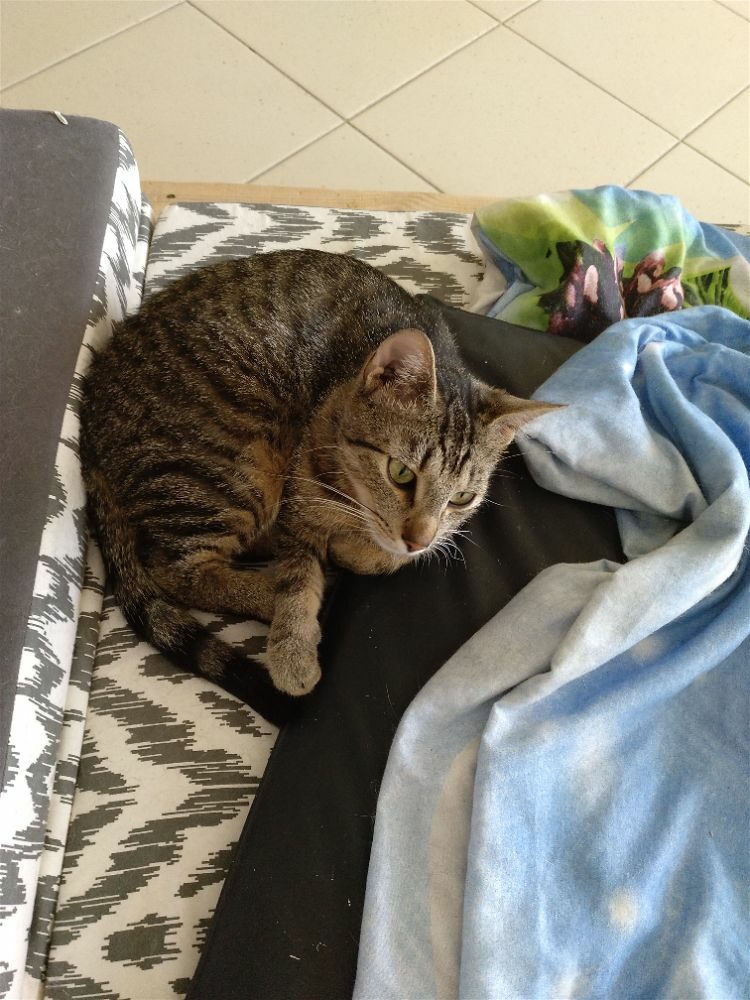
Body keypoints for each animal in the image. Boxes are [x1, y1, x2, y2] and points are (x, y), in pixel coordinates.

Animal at [80, 249, 556, 724]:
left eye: (462, 497)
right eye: (400, 473)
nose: (417, 539)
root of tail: (90, 419)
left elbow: (389, 555)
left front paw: (366, 552)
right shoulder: (295, 510)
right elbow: (298, 579)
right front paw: (294, 648)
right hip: (232, 468)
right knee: (178, 573)